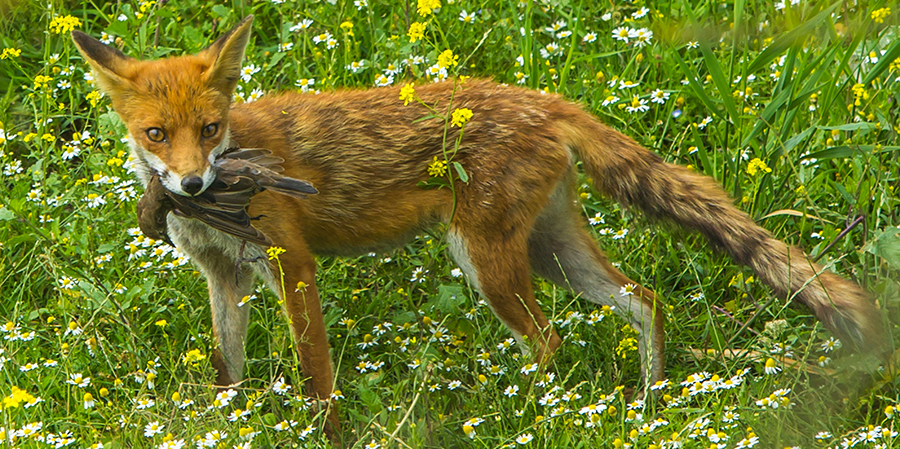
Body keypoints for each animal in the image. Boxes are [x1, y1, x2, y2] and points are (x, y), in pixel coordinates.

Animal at [72, 15, 889, 435]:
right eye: (155, 135)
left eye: (209, 129)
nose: (192, 185)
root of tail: (542, 98)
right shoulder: (225, 274)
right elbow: (227, 370)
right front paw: (227, 423)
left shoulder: (289, 262)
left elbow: (317, 377)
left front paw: (324, 434)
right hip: (552, 251)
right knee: (643, 298)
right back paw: (649, 404)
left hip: (485, 259)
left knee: (550, 338)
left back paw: (535, 411)